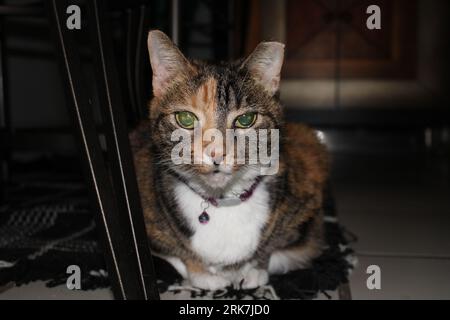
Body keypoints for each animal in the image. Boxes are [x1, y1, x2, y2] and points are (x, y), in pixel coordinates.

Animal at [132, 30, 328, 290]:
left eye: (246, 120)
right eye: (185, 118)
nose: (216, 153)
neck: (224, 202)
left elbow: (276, 248)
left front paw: (252, 270)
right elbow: (175, 253)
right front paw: (206, 275)